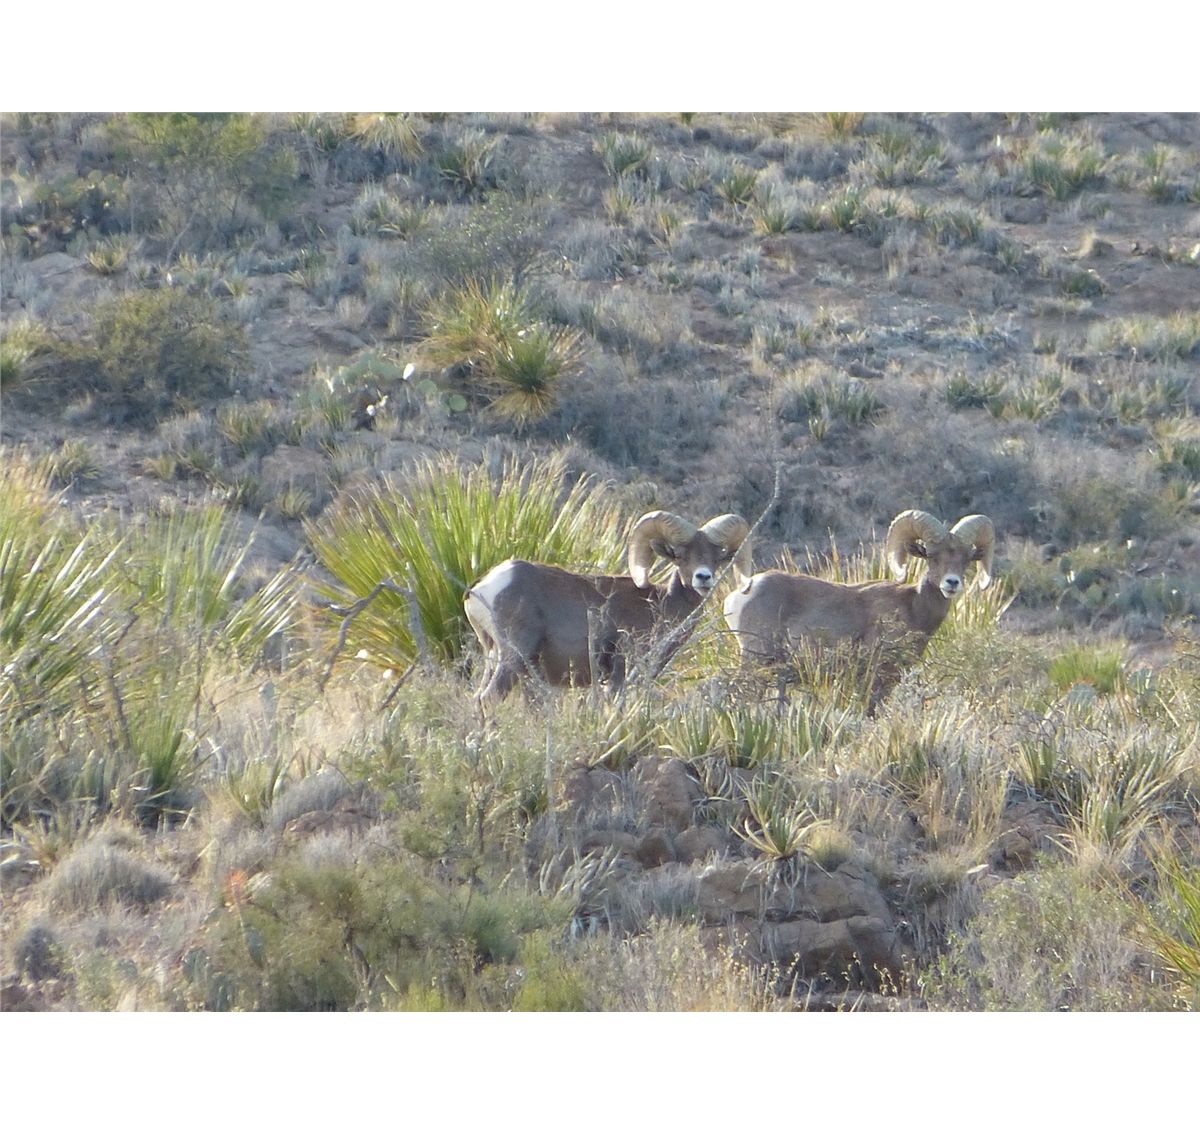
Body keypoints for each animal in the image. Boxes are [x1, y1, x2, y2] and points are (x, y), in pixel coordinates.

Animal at [464, 510, 752, 706]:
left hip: (494, 655)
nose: (703, 578)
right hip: (514, 656)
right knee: (487, 699)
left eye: (717, 557)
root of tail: (483, 586)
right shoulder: (620, 673)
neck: (660, 605)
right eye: (679, 555)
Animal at [723, 510, 995, 707]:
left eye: (966, 559)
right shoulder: (876, 678)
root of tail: (744, 591)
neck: (914, 608)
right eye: (932, 556)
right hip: (756, 659)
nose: (952, 583)